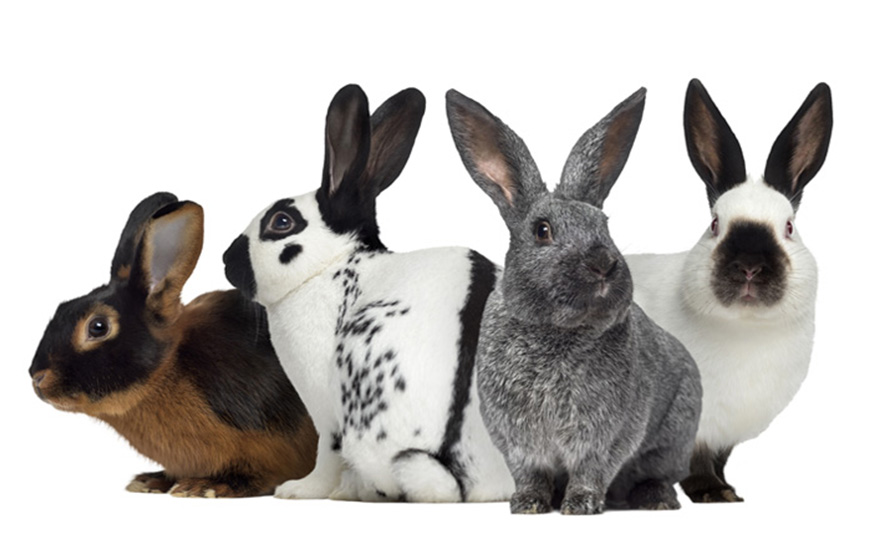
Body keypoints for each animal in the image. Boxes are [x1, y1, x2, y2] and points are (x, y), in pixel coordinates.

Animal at [29, 192, 317, 497]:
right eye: (61, 308)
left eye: (98, 327)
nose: (37, 378)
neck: (167, 367)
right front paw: (150, 481)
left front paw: (205, 487)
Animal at [222, 85, 514, 502]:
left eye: (282, 221)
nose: (226, 261)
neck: (331, 265)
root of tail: (454, 469)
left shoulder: (325, 413)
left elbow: (325, 456)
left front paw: (298, 490)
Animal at [446, 88, 702, 515]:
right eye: (542, 230)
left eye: (605, 226)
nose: (603, 263)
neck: (554, 331)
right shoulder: (516, 442)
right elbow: (530, 474)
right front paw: (528, 504)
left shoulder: (609, 436)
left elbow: (592, 469)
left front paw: (580, 504)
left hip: (675, 436)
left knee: (660, 473)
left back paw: (655, 499)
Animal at [624, 79, 832, 503]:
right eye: (715, 224)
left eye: (789, 227)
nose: (750, 265)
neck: (745, 327)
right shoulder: (696, 424)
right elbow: (695, 463)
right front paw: (713, 493)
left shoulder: (724, 432)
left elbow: (718, 459)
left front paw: (728, 490)